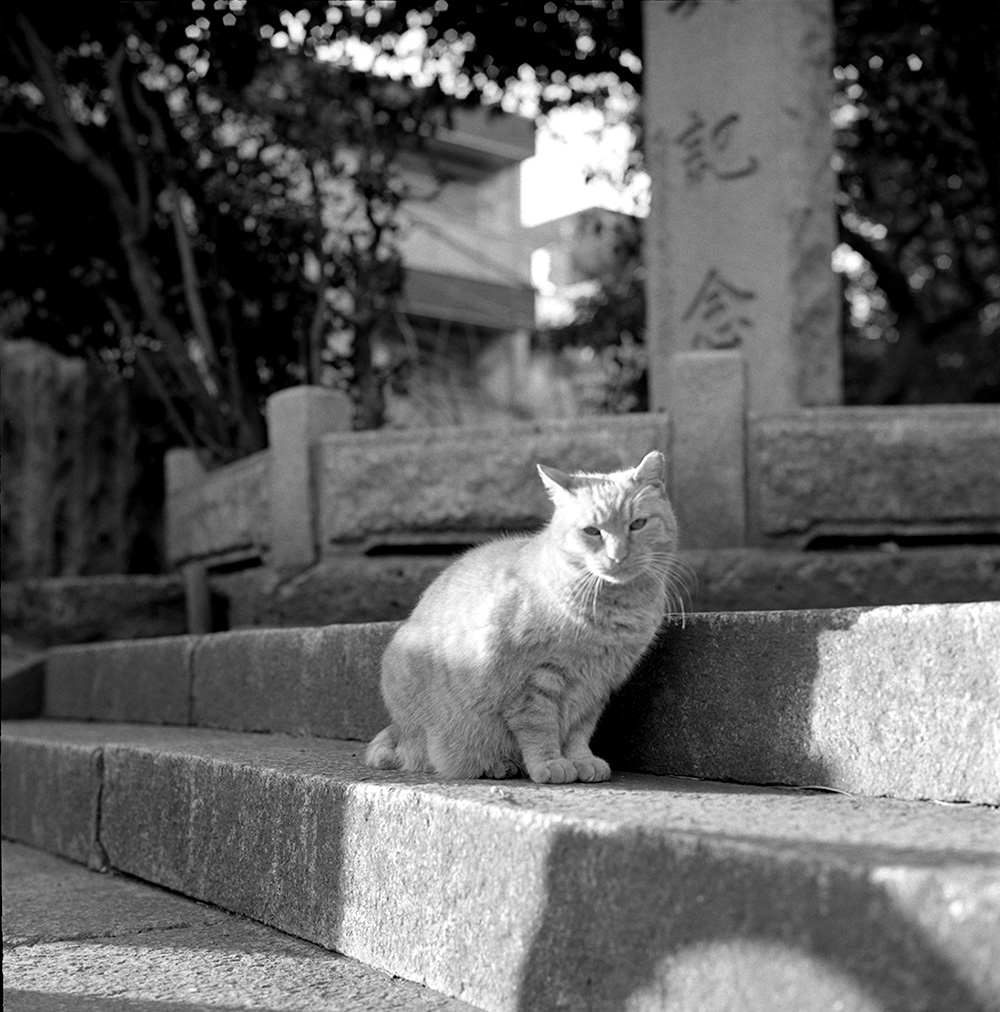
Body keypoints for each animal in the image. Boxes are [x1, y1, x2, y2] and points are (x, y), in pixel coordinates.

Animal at [362, 455, 684, 785]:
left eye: (638, 524)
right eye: (592, 531)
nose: (618, 556)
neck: (611, 612)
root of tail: (397, 730)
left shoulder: (596, 687)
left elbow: (578, 731)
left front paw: (581, 761)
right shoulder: (531, 683)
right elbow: (540, 728)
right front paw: (550, 764)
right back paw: (498, 765)